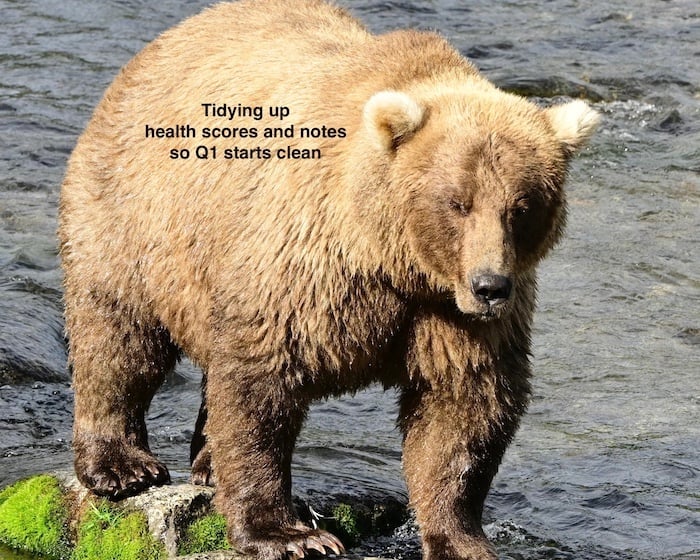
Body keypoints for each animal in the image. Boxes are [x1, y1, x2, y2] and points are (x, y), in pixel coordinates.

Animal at [58, 1, 599, 559]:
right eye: (457, 202)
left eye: (521, 206)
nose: (489, 286)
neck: (391, 261)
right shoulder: (304, 270)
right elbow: (261, 387)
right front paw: (290, 534)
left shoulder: (455, 319)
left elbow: (463, 409)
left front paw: (461, 538)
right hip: (136, 217)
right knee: (119, 336)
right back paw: (122, 466)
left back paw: (206, 466)